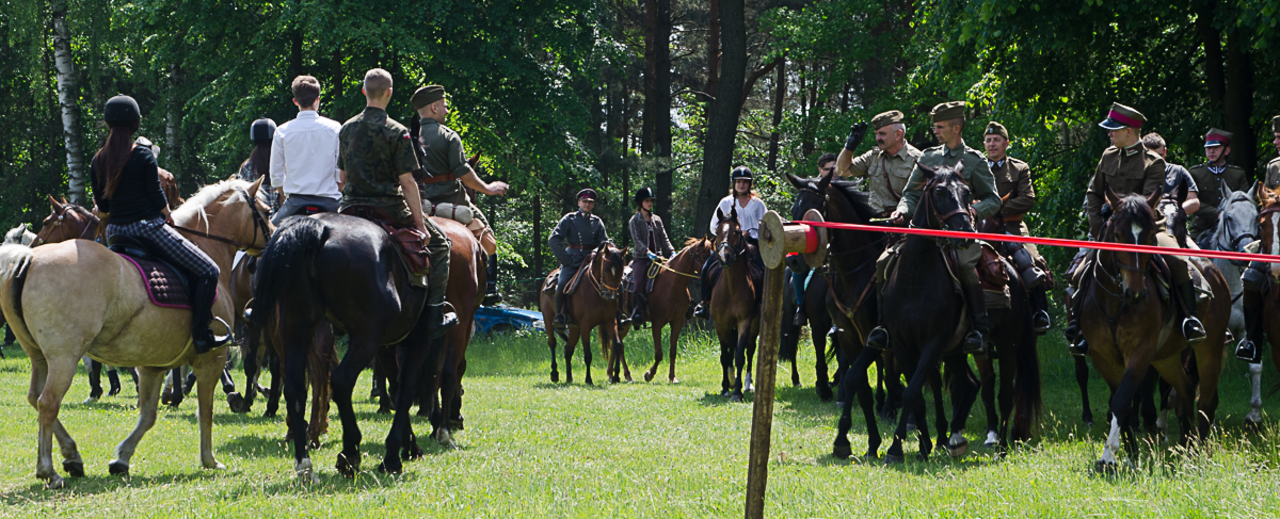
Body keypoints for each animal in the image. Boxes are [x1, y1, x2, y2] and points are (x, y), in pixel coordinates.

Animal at [0, 176, 270, 484]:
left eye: (47, 222)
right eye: (266, 212)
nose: (273, 237)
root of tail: (30, 258)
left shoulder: (154, 363)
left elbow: (148, 415)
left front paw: (121, 459)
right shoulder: (210, 358)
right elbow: (205, 410)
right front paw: (209, 459)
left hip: (40, 357)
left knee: (35, 398)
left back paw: (72, 456)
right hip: (63, 357)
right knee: (47, 402)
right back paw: (49, 469)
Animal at [537, 242, 627, 384]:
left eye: (621, 269)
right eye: (606, 269)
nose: (611, 295)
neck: (597, 293)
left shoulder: (610, 322)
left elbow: (617, 345)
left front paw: (615, 376)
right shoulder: (585, 325)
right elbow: (588, 354)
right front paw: (588, 379)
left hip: (574, 327)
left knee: (568, 349)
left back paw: (569, 377)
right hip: (548, 321)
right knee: (552, 343)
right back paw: (555, 374)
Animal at [622, 234, 716, 379]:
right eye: (705, 256)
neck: (672, 284)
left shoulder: (677, 322)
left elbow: (673, 351)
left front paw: (672, 377)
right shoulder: (657, 323)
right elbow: (659, 354)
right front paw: (649, 374)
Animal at [1080, 188, 1228, 471]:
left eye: (1149, 237)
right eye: (1118, 235)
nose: (1136, 293)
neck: (1115, 300)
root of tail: (1214, 271)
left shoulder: (1139, 354)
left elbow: (1122, 400)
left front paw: (1109, 455)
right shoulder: (1103, 358)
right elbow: (1121, 403)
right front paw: (1130, 454)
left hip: (1209, 348)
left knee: (1207, 401)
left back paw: (1197, 452)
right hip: (1166, 358)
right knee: (1185, 390)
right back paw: (1185, 445)